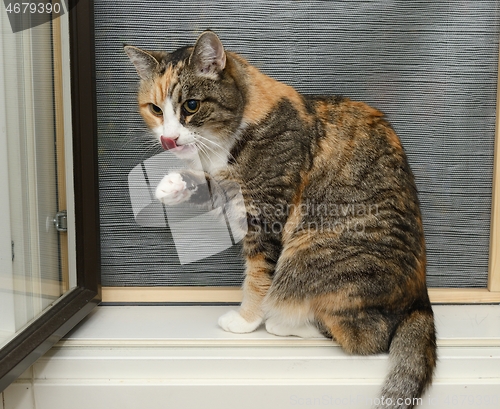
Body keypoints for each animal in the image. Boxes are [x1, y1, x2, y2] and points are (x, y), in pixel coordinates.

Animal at [126, 30, 438, 406]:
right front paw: (173, 185)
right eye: (155, 109)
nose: (169, 139)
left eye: (191, 106)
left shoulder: (266, 213)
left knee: (366, 336)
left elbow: (259, 276)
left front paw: (246, 320)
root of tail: (419, 298)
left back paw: (286, 323)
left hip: (310, 254)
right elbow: (213, 185)